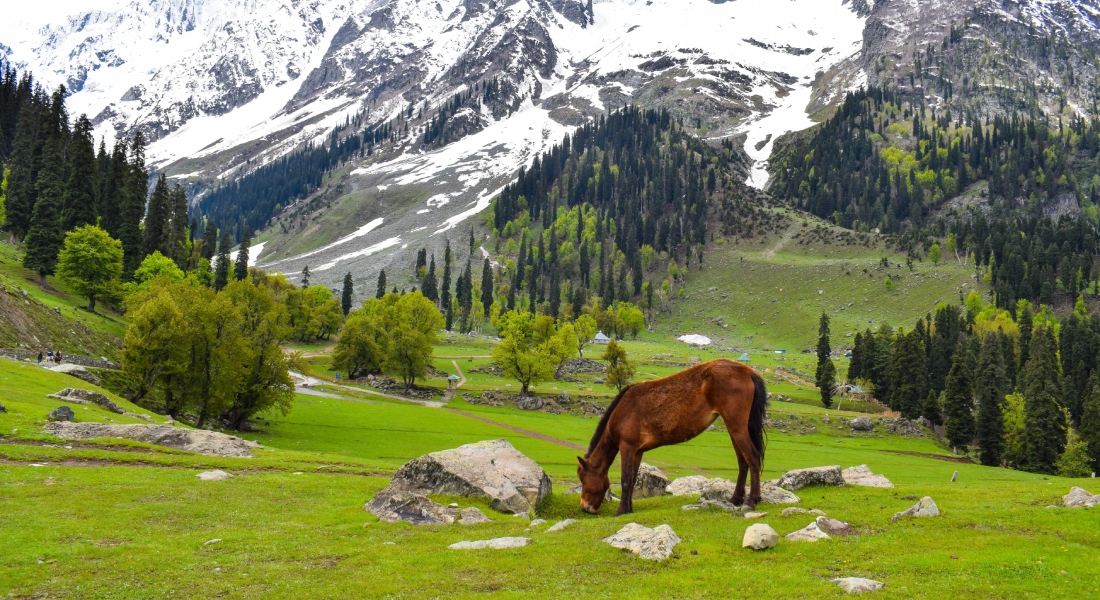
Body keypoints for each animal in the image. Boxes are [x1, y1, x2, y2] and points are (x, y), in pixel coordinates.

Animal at [576, 358, 765, 513]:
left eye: (582, 478)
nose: (585, 507)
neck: (623, 409)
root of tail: (748, 371)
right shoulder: (637, 451)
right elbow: (633, 479)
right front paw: (629, 508)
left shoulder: (627, 447)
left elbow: (626, 479)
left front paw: (621, 510)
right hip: (734, 429)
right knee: (743, 462)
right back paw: (735, 499)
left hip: (737, 427)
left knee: (753, 458)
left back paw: (751, 501)